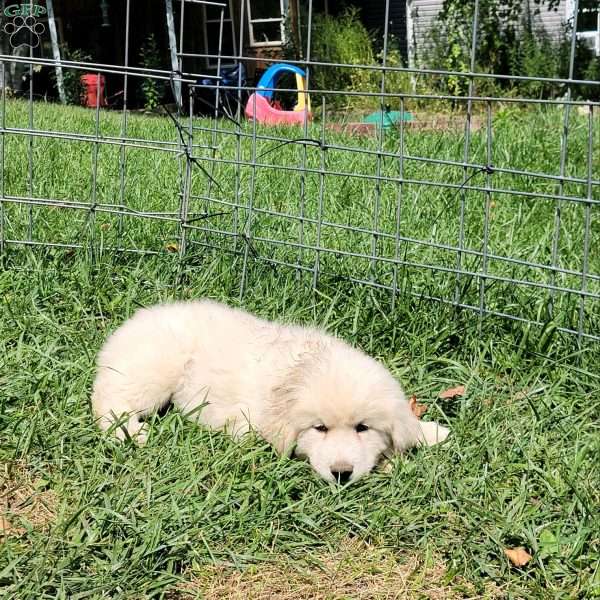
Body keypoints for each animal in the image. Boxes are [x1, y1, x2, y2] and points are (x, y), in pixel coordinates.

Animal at [91, 300, 450, 482]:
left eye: (363, 428)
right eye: (319, 428)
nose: (341, 473)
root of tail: (135, 319)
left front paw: (432, 432)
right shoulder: (247, 423)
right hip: (154, 371)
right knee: (107, 399)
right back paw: (130, 432)